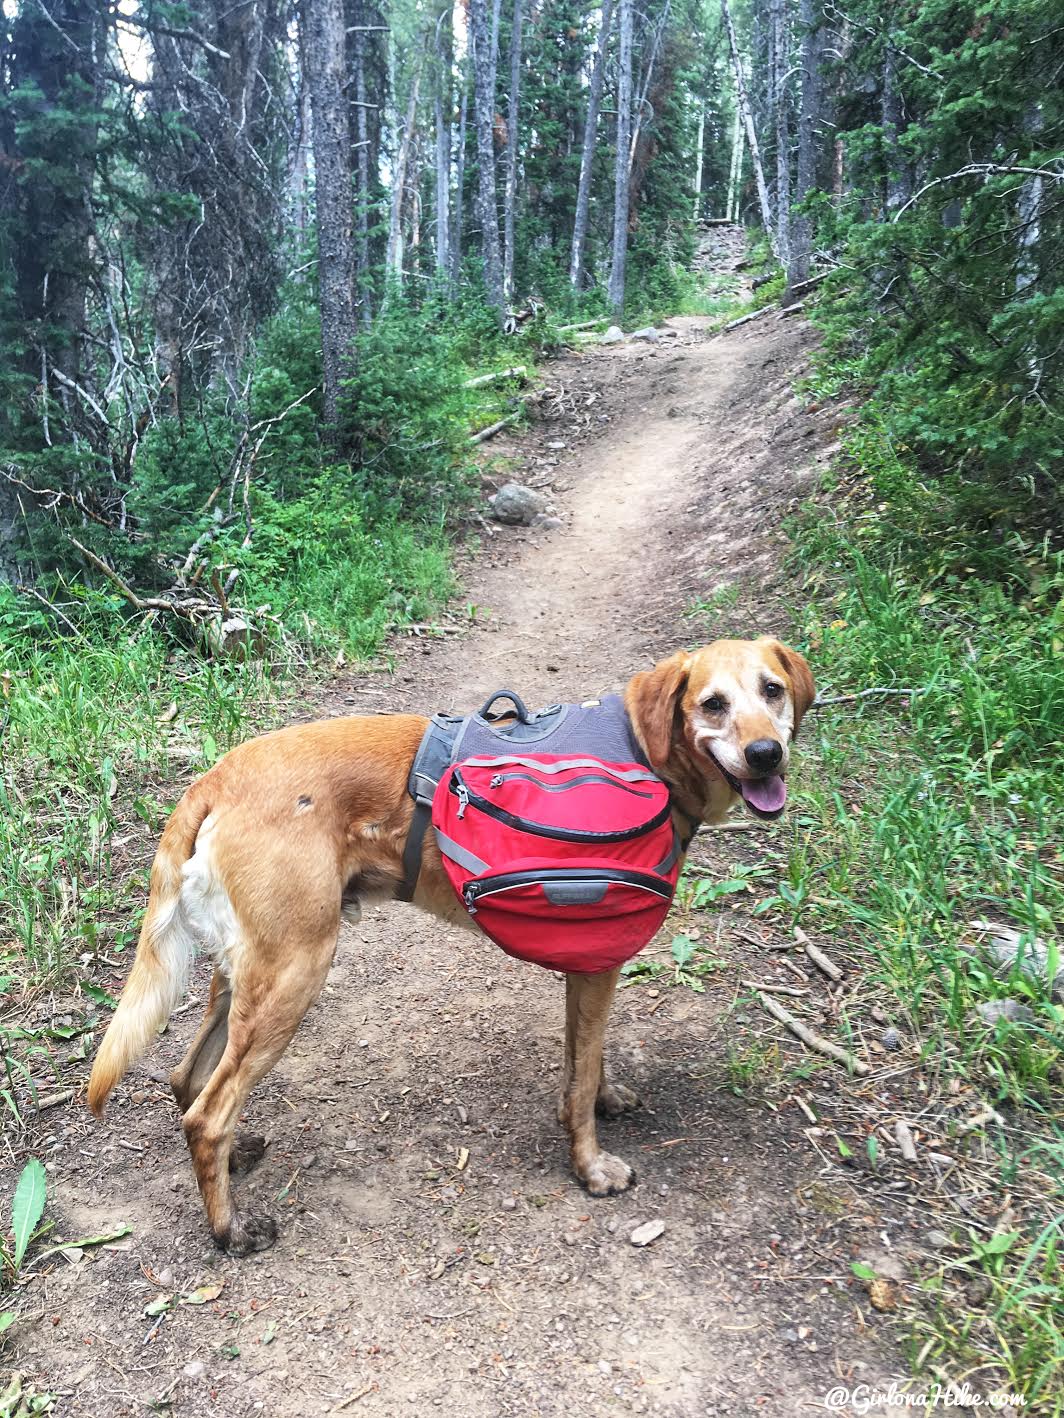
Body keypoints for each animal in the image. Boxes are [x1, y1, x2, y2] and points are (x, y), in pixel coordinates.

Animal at [89, 640, 817, 1253]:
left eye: (772, 691)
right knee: (209, 1113)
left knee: (188, 1081)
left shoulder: (591, 967)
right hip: (294, 977)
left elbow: (587, 1061)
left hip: (244, 977)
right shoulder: (597, 966)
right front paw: (590, 1166)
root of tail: (215, 779)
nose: (765, 754)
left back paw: (235, 1162)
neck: (644, 754)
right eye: (713, 703)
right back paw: (230, 1229)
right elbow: (580, 1078)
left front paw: (606, 1100)